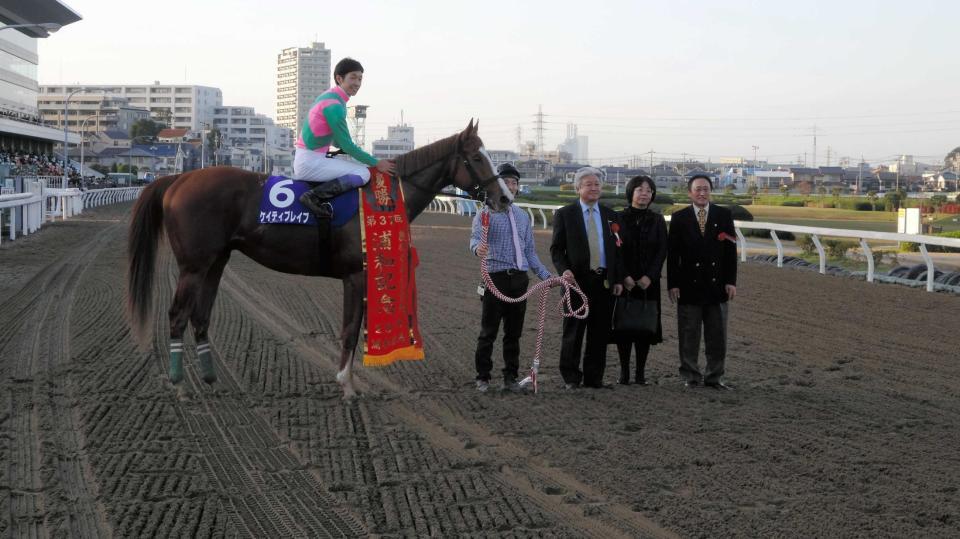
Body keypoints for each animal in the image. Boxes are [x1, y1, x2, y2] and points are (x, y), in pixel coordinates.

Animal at [127, 122, 510, 400]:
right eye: (477, 158)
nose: (505, 198)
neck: (379, 201)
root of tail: (178, 179)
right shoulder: (355, 275)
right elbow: (350, 330)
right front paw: (347, 385)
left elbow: (354, 328)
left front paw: (348, 381)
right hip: (193, 265)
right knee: (177, 315)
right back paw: (179, 384)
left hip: (216, 261)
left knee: (201, 315)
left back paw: (210, 378)